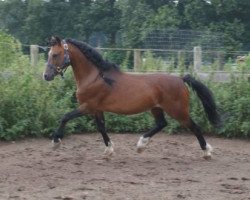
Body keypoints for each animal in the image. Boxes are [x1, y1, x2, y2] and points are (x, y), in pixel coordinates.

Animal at [44, 36, 220, 159]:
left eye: (56, 54)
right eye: (49, 54)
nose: (46, 76)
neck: (95, 77)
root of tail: (181, 79)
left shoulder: (88, 106)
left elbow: (65, 117)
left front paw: (55, 142)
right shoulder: (97, 109)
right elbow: (101, 128)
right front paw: (109, 150)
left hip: (178, 111)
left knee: (195, 127)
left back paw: (207, 152)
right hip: (156, 108)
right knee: (162, 124)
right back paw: (141, 145)